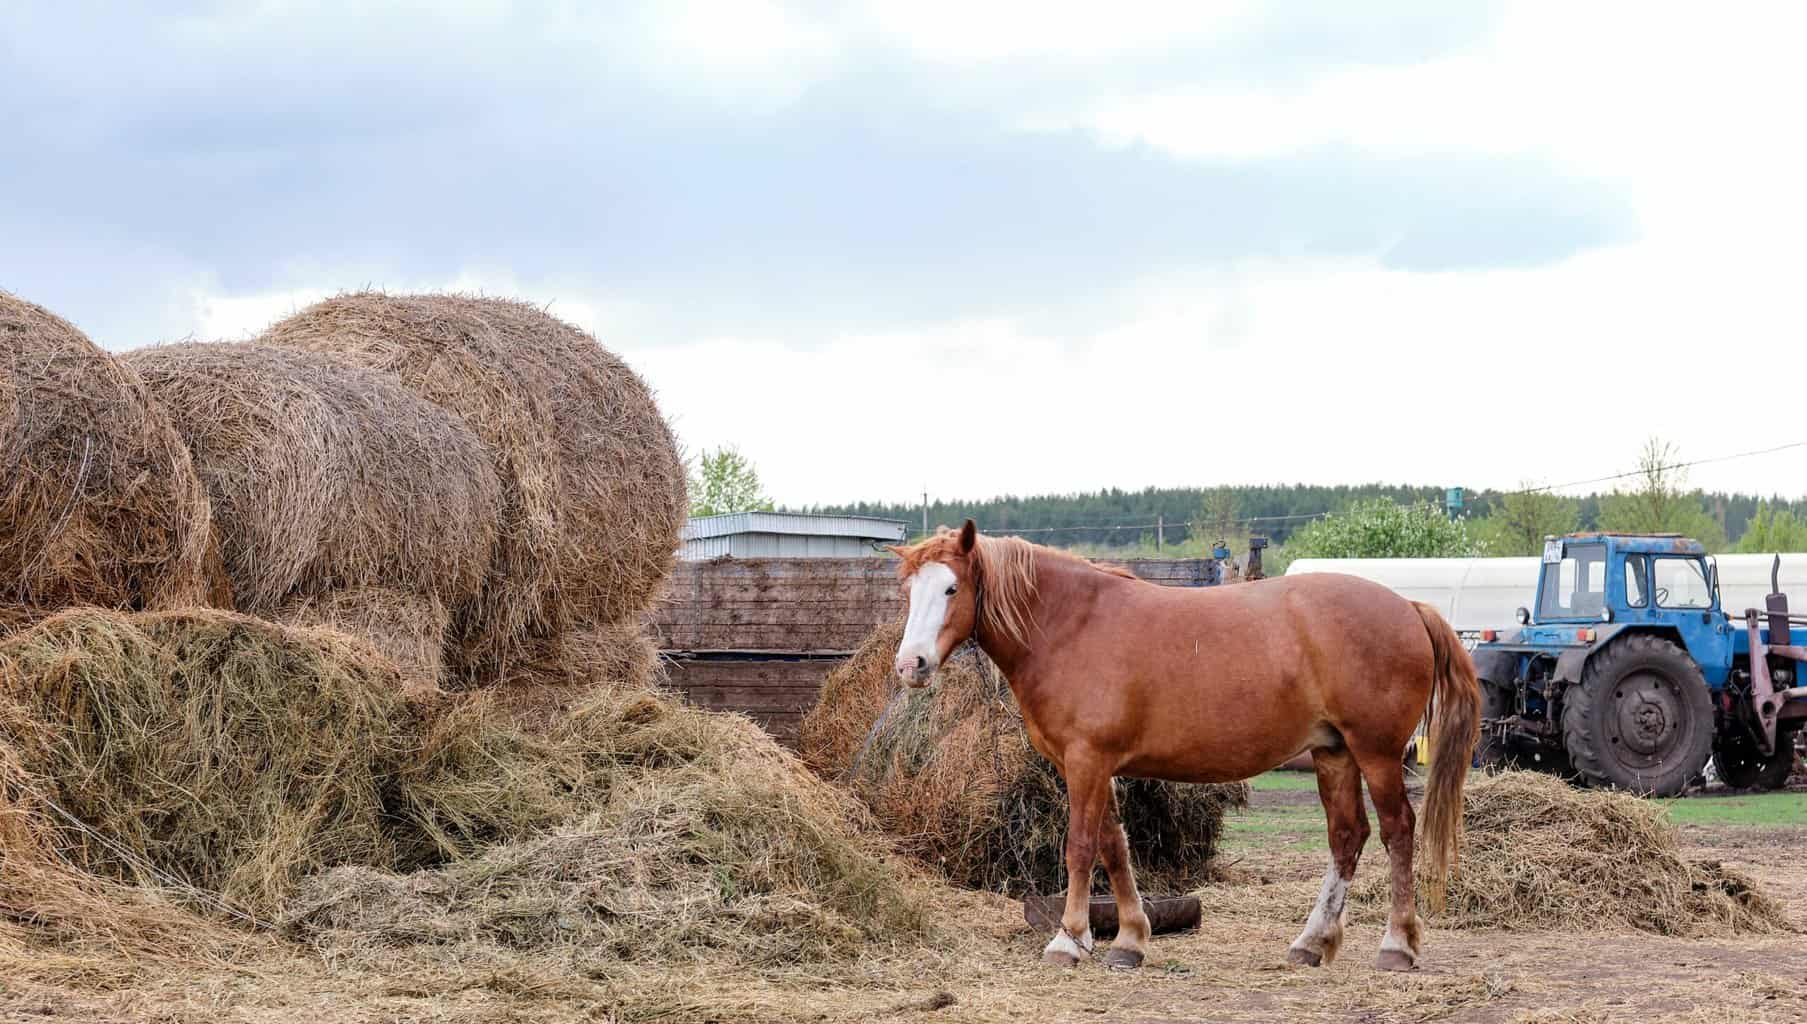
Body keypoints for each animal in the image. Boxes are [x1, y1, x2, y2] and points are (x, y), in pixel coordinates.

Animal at [881, 523, 1474, 975]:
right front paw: (1129, 940)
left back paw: (1397, 946)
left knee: (1398, 831)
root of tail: (1409, 607)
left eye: (952, 589)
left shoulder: (1086, 761)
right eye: (910, 592)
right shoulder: (1095, 766)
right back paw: (1313, 942)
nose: (911, 665)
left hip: (1376, 753)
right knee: (1347, 837)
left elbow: (1080, 847)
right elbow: (1114, 846)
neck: (1071, 625)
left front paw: (1068, 940)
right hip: (1333, 754)